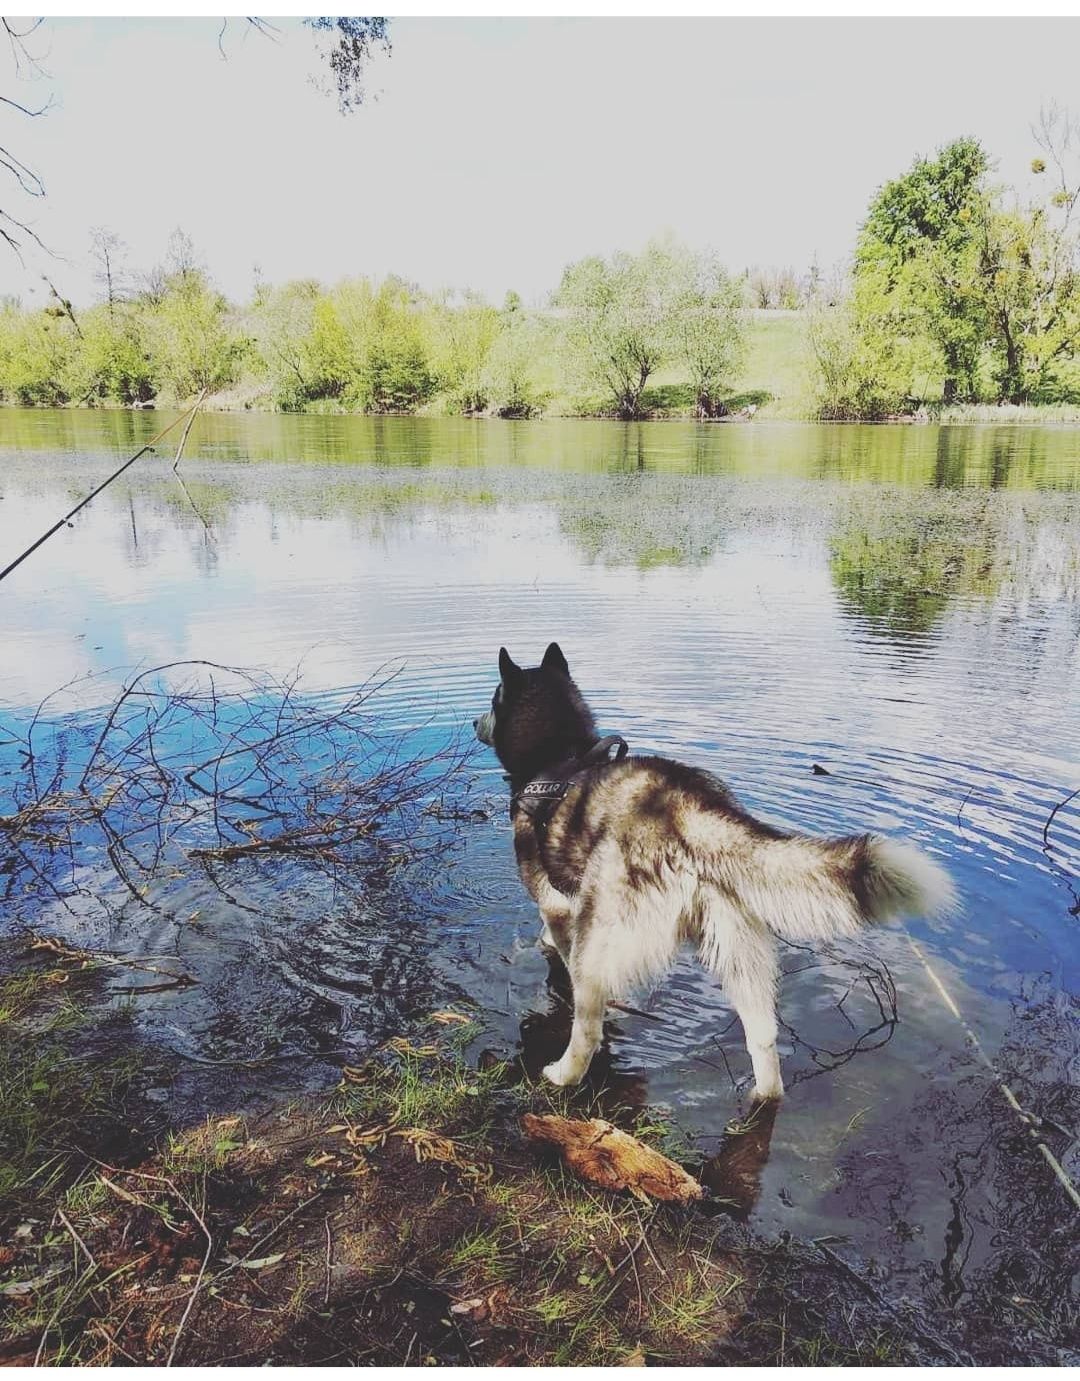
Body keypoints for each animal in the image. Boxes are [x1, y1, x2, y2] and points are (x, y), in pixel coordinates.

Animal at [475, 643, 955, 1099]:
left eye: (493, 699)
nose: (475, 723)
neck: (560, 752)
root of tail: (685, 807)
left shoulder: (557, 907)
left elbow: (559, 954)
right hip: (738, 953)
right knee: (763, 1039)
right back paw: (763, 1095)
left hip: (601, 946)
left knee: (588, 1028)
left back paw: (562, 1074)